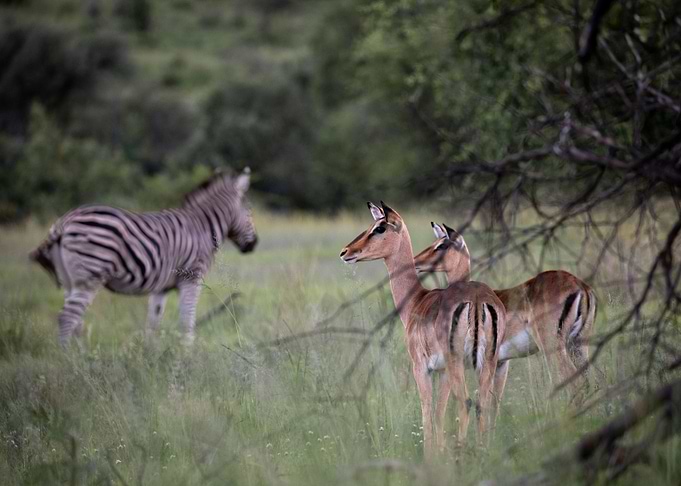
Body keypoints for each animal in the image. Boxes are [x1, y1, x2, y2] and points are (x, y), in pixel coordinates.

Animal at [29, 167, 258, 346]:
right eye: (249, 211)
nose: (254, 244)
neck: (202, 226)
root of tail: (65, 221)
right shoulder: (192, 278)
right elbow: (187, 323)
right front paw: (187, 360)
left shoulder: (161, 288)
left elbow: (153, 324)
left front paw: (151, 359)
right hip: (90, 274)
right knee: (67, 318)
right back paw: (70, 361)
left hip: (70, 280)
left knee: (75, 321)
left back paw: (83, 358)